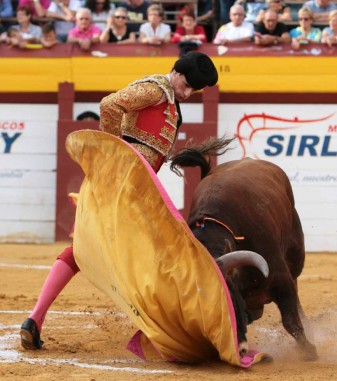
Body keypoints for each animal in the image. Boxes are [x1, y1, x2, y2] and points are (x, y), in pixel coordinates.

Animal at [171, 136, 318, 360]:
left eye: (229, 303)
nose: (238, 349)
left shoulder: (281, 279)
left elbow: (291, 322)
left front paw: (310, 351)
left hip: (295, 253)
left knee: (296, 285)